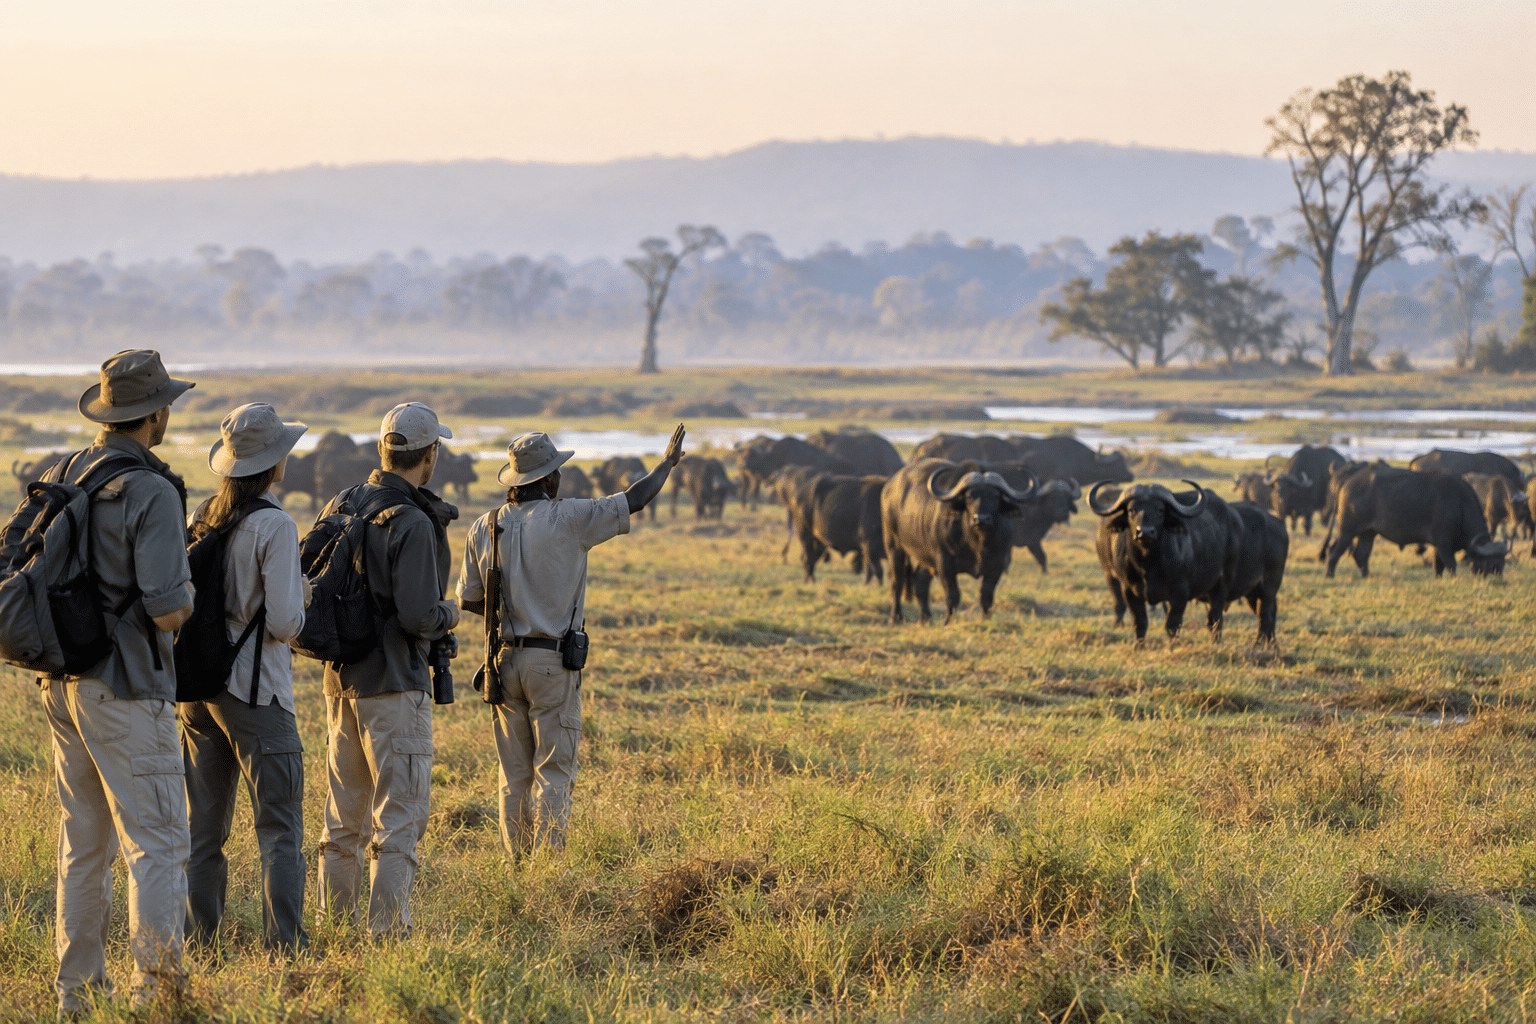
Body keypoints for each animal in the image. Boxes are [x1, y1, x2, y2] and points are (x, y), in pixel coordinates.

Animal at [882, 458, 1035, 624]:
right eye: (969, 496)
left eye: (995, 496)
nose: (981, 519)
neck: (978, 543)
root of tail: (889, 487)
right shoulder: (944, 563)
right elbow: (952, 595)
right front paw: (948, 621)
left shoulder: (998, 565)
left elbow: (986, 595)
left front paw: (985, 620)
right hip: (893, 544)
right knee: (896, 580)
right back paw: (895, 617)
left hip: (926, 556)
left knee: (920, 580)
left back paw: (925, 619)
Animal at [1325, 467, 1507, 578]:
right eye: (1492, 564)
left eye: (1503, 563)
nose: (1498, 578)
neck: (1460, 503)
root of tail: (1349, 481)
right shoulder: (1443, 542)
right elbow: (1450, 564)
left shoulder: (1438, 545)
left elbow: (1438, 565)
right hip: (1347, 531)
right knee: (1334, 551)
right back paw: (1330, 575)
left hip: (1367, 533)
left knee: (1361, 554)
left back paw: (1366, 576)